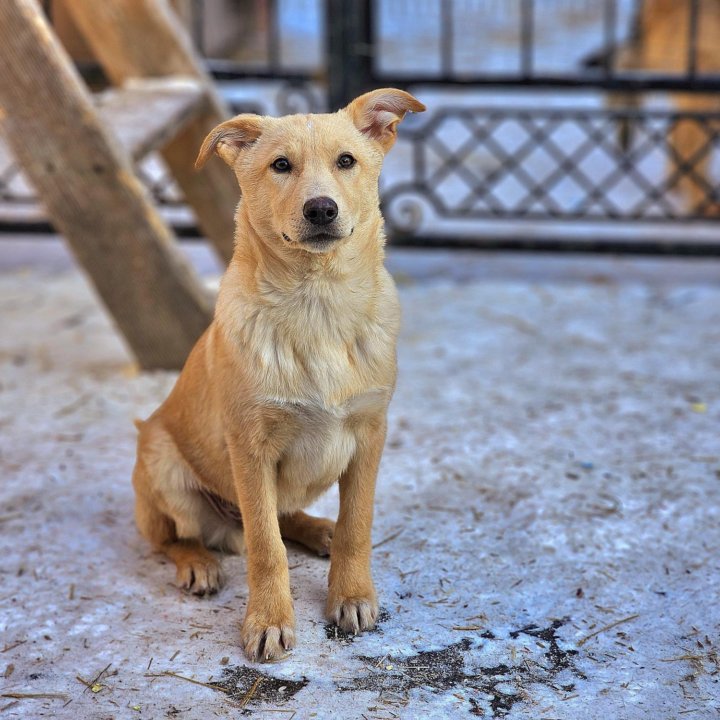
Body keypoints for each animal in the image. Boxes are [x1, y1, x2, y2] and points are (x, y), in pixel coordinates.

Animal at [132, 90, 424, 664]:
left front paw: (350, 595)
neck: (317, 305)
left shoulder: (370, 434)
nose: (321, 209)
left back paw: (317, 529)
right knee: (178, 537)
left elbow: (357, 525)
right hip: (160, 460)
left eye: (346, 161)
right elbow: (266, 548)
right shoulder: (250, 447)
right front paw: (268, 621)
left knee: (285, 516)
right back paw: (199, 563)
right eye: (281, 165)